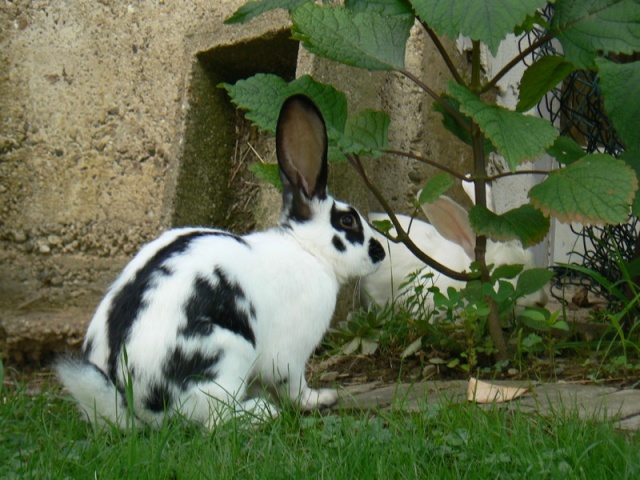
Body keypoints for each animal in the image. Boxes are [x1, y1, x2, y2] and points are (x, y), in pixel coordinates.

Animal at [57, 94, 384, 428]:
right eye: (347, 221)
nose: (380, 251)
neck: (306, 249)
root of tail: (133, 403)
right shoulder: (290, 354)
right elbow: (293, 385)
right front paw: (319, 399)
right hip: (226, 354)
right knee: (217, 419)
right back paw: (262, 412)